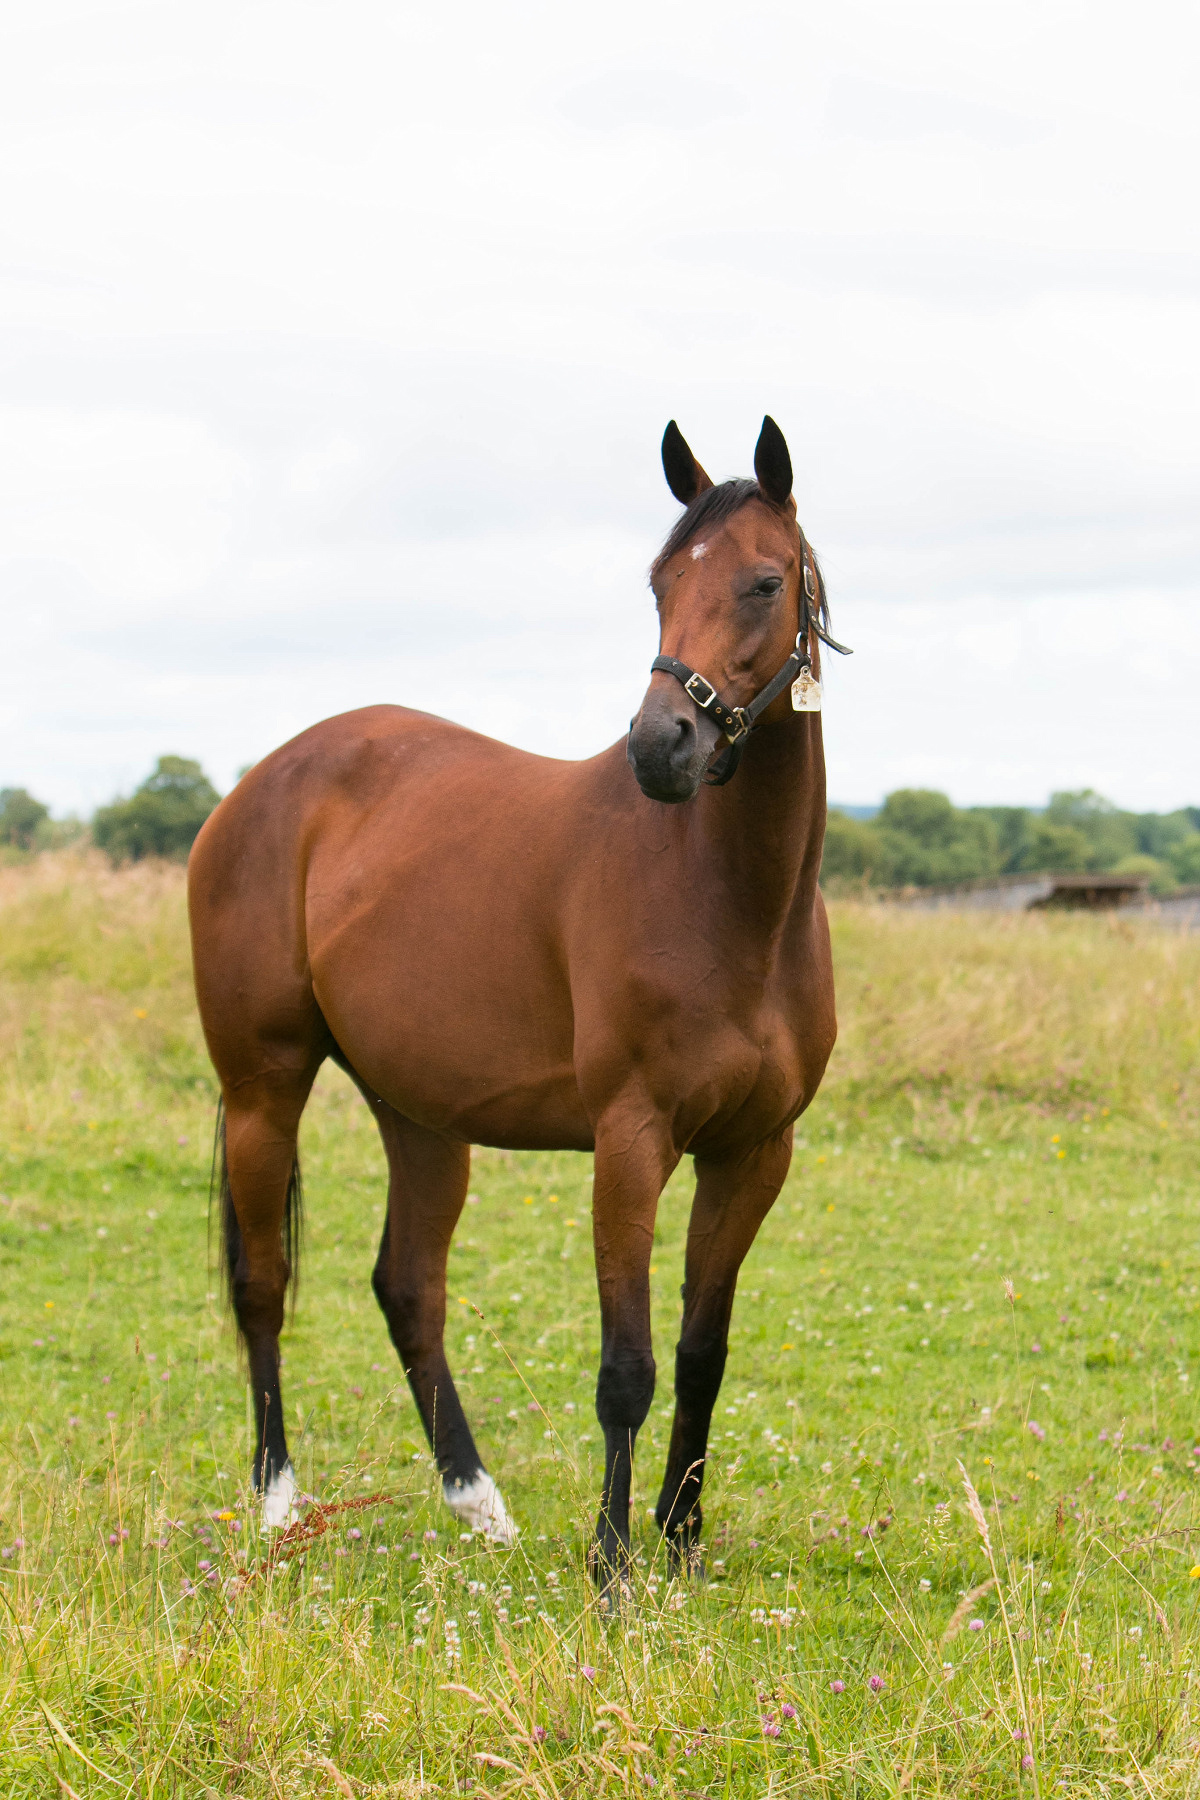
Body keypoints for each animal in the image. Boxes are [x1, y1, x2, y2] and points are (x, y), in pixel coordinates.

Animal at [189, 412, 845, 1591]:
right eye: (660, 581)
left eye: (766, 582)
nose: (660, 747)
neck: (735, 902)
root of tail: (265, 783)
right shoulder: (631, 1139)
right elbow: (628, 1365)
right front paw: (614, 1563)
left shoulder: (753, 1152)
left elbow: (702, 1351)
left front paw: (681, 1537)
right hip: (263, 1089)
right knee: (263, 1284)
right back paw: (276, 1501)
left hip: (420, 1115)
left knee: (409, 1288)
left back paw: (476, 1501)